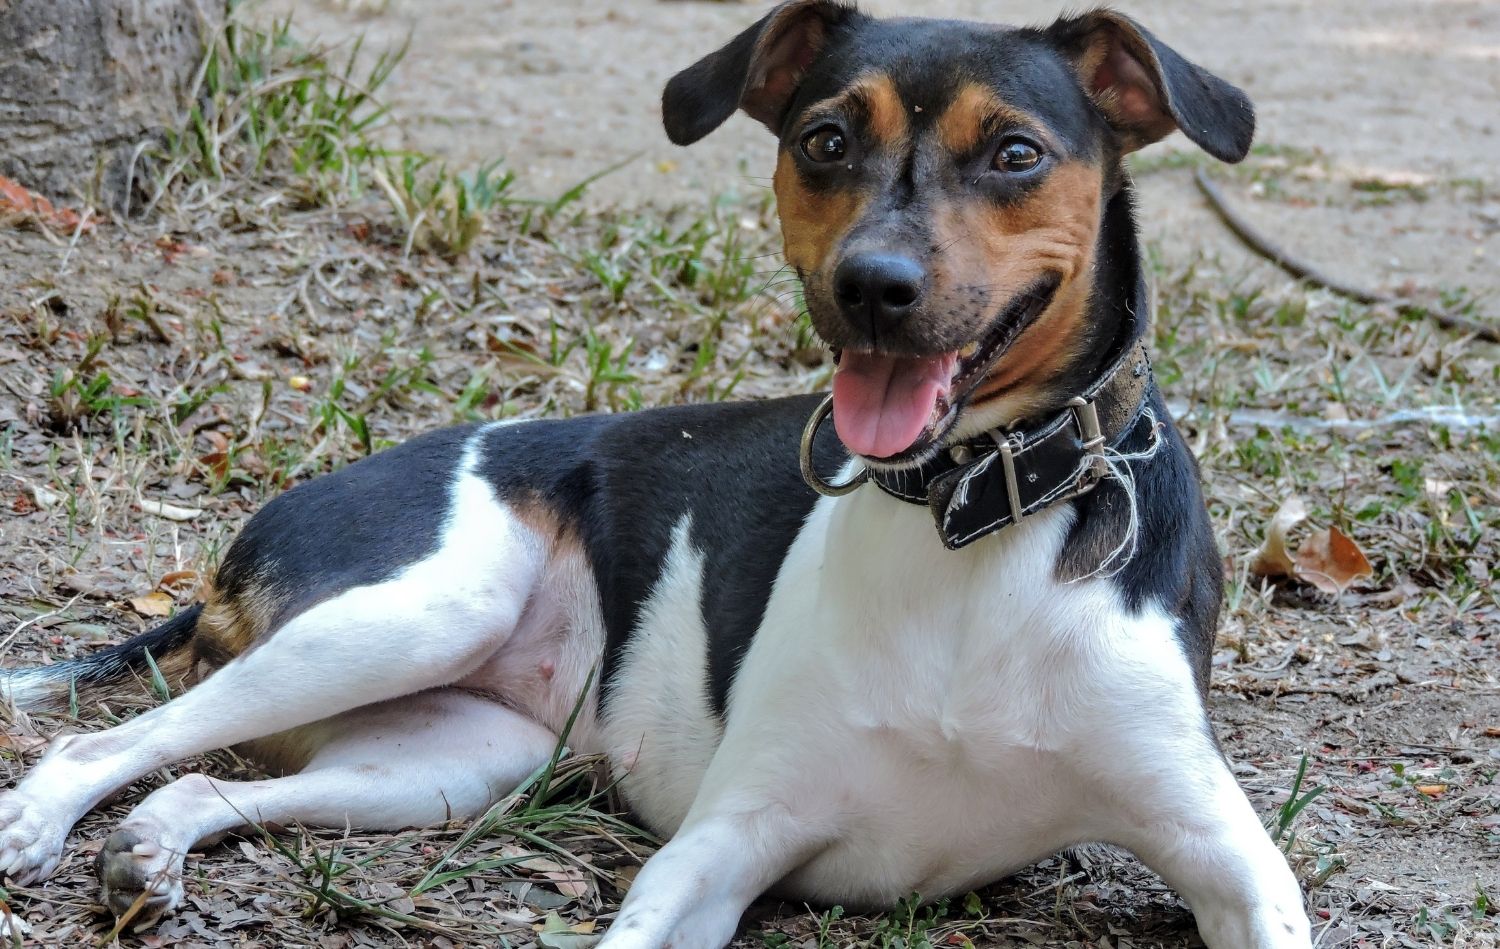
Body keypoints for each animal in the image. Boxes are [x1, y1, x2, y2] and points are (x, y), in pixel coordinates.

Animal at [0, 3, 1314, 941]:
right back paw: (40, 820)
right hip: (415, 612)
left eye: (1016, 152)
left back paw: (150, 849)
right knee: (109, 744)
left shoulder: (1232, 859)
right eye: (824, 141)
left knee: (194, 784)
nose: (874, 287)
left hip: (455, 756)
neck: (971, 520)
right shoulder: (725, 843)